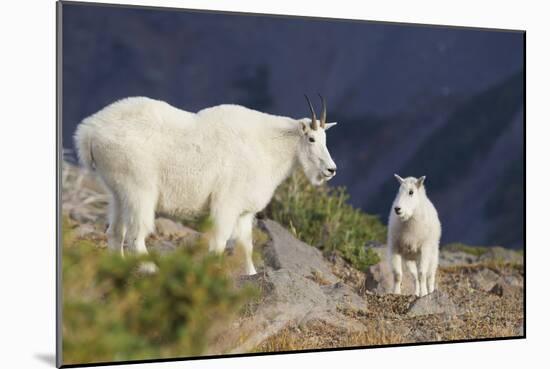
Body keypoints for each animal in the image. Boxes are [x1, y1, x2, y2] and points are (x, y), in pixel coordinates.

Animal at [75, 95, 338, 274]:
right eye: (311, 139)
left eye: (326, 139)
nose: (330, 170)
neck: (267, 146)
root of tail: (89, 132)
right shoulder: (226, 203)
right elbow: (219, 243)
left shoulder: (244, 211)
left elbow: (246, 246)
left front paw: (251, 274)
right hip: (139, 188)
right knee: (135, 236)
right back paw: (152, 270)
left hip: (117, 190)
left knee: (115, 231)